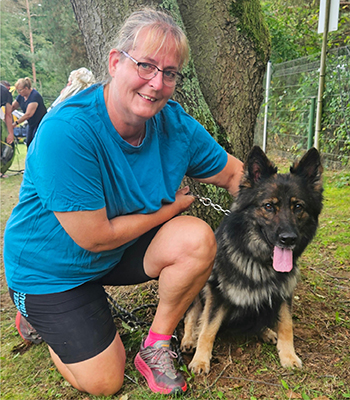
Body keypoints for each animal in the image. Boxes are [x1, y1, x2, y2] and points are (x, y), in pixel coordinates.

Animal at [182, 145, 324, 374]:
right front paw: (201, 360)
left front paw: (289, 355)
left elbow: (287, 324)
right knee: (192, 315)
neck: (260, 261)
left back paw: (266, 331)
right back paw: (188, 339)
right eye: (268, 206)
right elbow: (208, 328)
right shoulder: (217, 293)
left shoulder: (283, 293)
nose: (288, 239)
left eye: (298, 207)